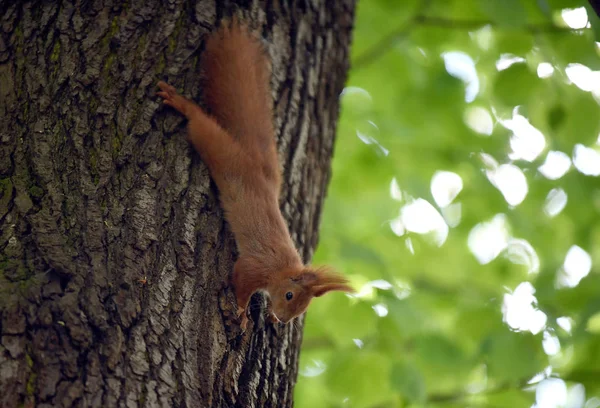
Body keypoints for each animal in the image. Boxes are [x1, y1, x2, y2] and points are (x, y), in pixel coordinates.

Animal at [157, 20, 354, 330]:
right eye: (289, 295)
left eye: (302, 308)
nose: (283, 320)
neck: (282, 269)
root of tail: (257, 167)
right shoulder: (255, 266)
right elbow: (240, 281)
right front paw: (240, 311)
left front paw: (268, 315)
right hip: (218, 149)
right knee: (200, 123)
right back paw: (181, 103)